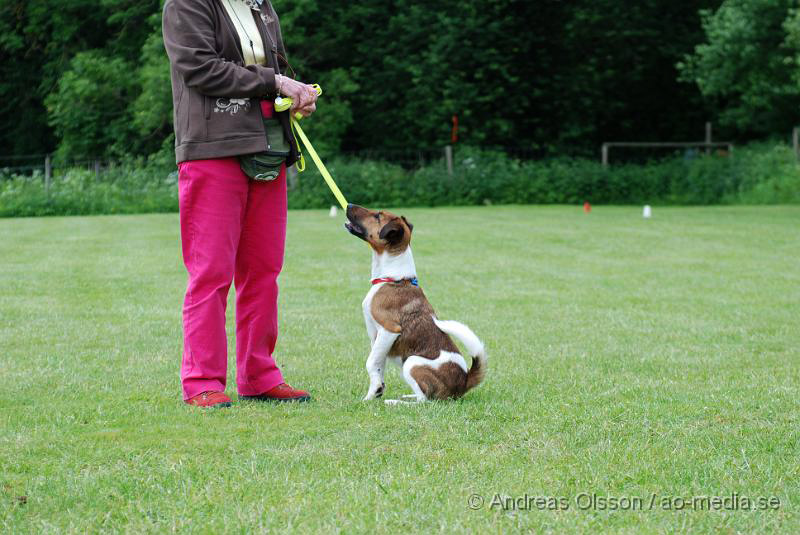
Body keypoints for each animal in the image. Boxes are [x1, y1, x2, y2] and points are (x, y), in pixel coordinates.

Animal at [344, 205, 488, 402]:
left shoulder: (389, 330)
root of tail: (464, 381)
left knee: (425, 400)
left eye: (377, 215)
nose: (348, 205)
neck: (393, 278)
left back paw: (395, 402)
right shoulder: (377, 338)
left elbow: (370, 363)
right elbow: (378, 366)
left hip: (411, 363)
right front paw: (375, 392)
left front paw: (373, 394)